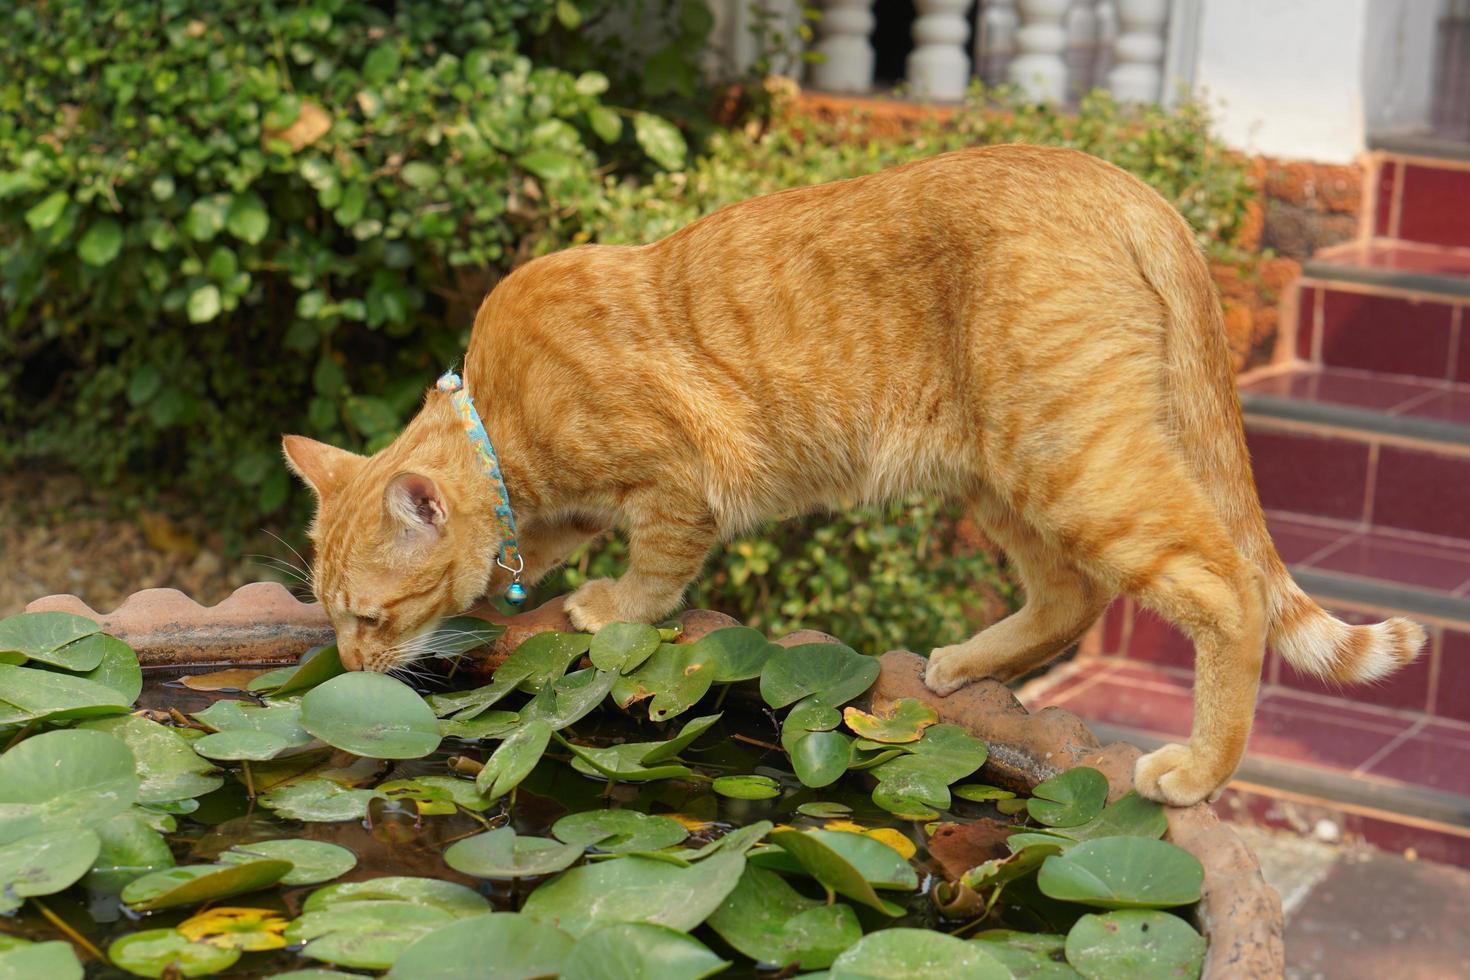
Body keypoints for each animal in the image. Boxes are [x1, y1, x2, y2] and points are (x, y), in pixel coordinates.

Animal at [283, 143, 1422, 805]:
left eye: (370, 616)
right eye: (331, 617)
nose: (348, 666)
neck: (500, 416)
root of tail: (1133, 190)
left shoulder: (680, 478)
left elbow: (650, 574)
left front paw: (605, 606)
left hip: (1071, 459)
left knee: (1223, 588)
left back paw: (1197, 768)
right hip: (1001, 475)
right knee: (1073, 595)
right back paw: (964, 665)